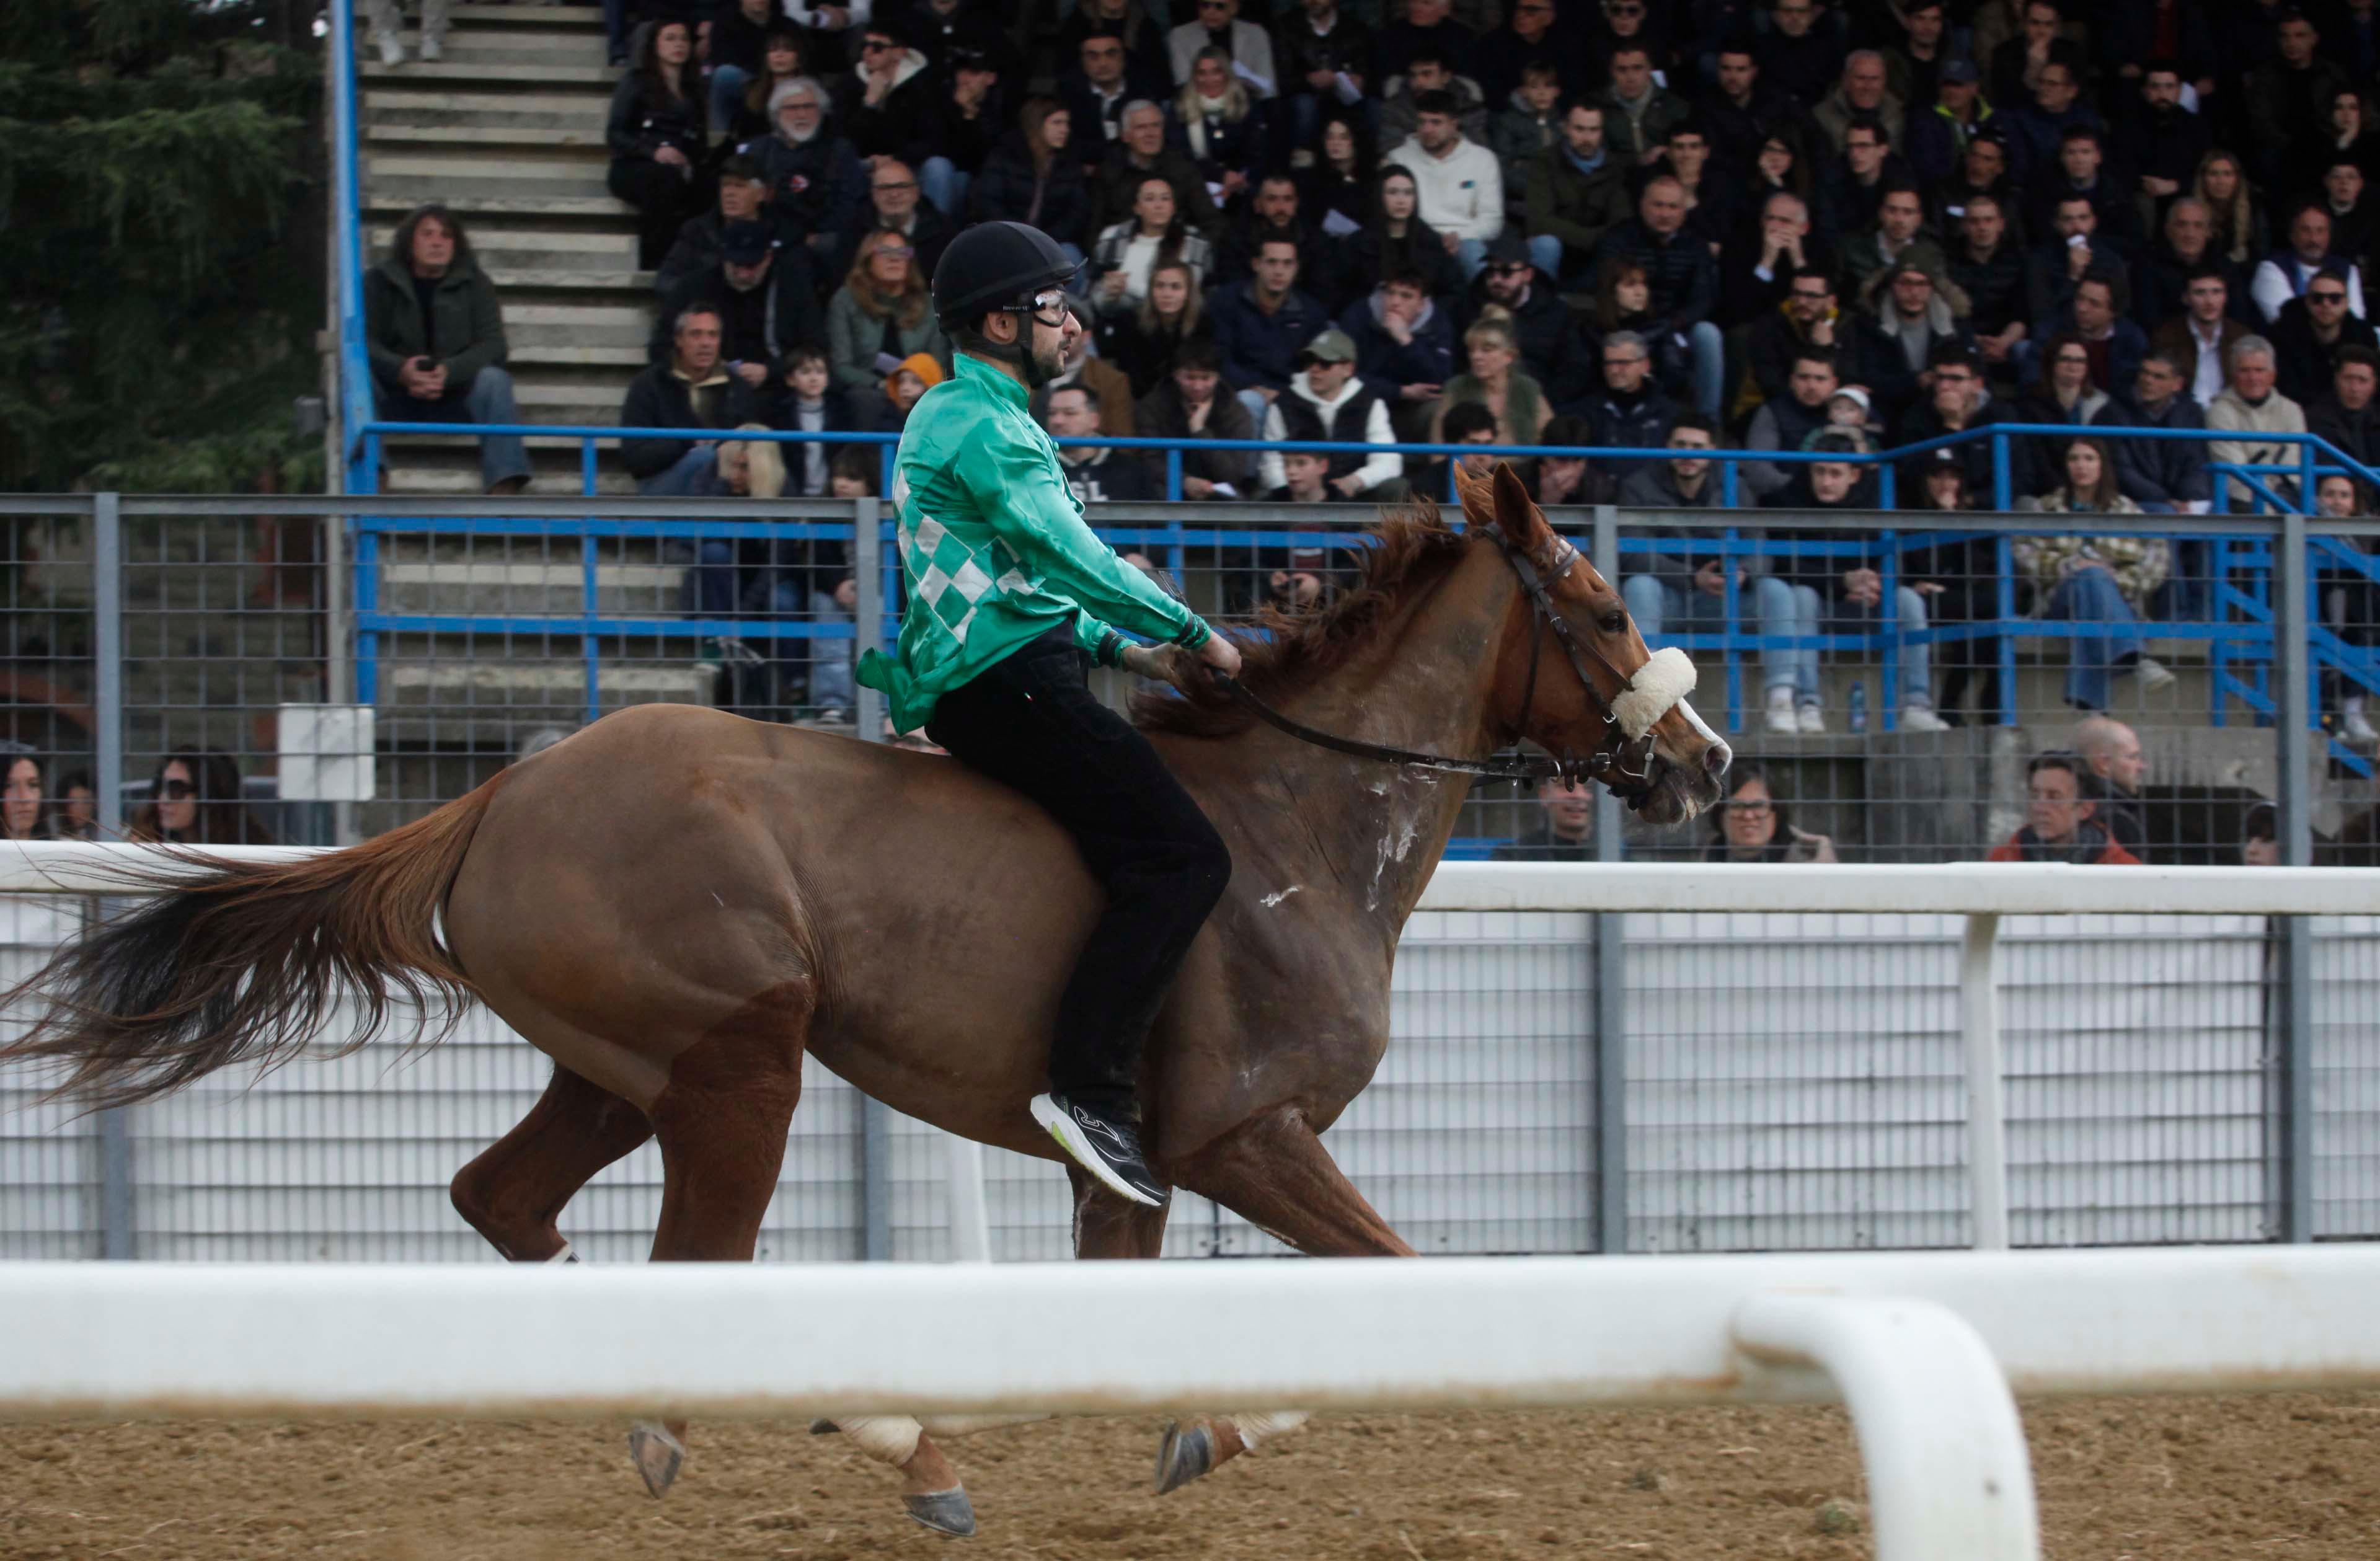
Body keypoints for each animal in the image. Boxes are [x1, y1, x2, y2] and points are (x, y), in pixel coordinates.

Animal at [0, 464, 1723, 1532]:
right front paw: (1209, 1427)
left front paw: (1168, 1427)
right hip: (736, 1062)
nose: (1705, 763)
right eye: (1606, 609)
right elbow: (1396, 1276)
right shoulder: (1244, 1135)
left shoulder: (1135, 1169)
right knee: (693, 1271)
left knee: (506, 1198)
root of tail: (499, 793)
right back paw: (875, 1438)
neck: (1301, 826)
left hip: (617, 1069)